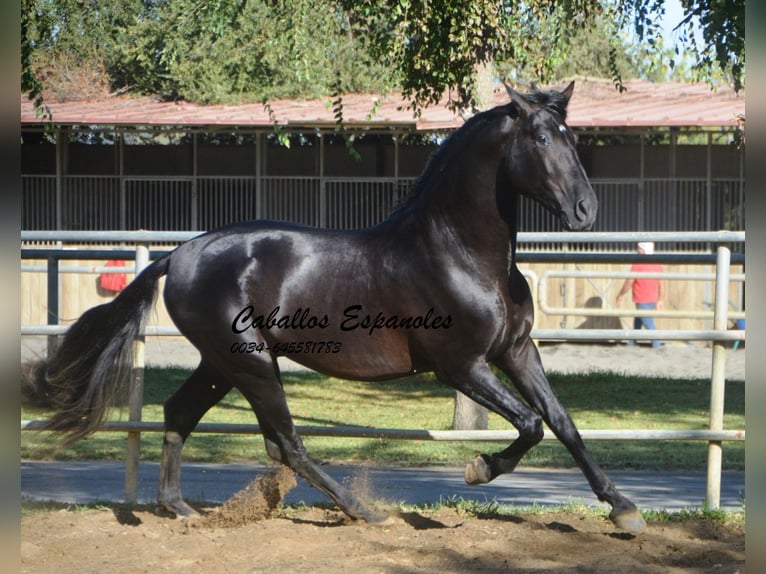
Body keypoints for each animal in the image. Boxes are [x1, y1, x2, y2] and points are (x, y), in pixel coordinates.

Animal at [25, 83, 648, 532]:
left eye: (572, 137)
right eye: (541, 139)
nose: (585, 210)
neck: (462, 253)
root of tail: (177, 256)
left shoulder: (516, 351)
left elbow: (562, 424)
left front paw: (624, 509)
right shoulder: (459, 366)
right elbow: (529, 424)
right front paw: (478, 469)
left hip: (223, 362)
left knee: (183, 413)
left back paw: (179, 509)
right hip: (250, 362)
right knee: (286, 442)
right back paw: (363, 510)